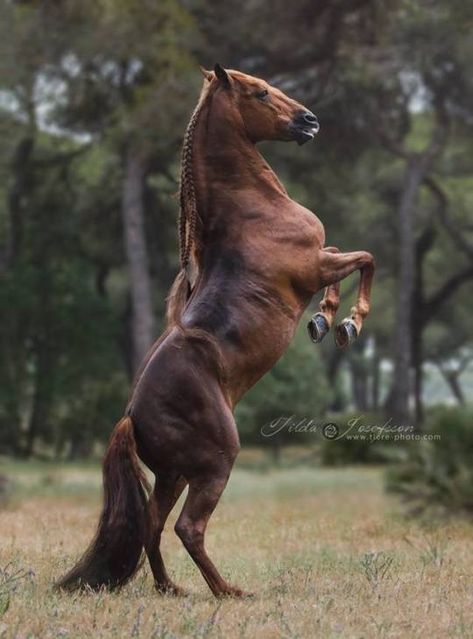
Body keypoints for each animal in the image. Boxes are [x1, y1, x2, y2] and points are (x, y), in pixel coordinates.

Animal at [56, 65, 372, 600]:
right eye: (260, 91)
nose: (309, 121)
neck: (254, 210)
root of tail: (131, 417)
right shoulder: (314, 266)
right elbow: (365, 259)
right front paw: (345, 323)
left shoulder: (322, 258)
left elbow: (351, 258)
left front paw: (324, 321)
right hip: (215, 462)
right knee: (188, 527)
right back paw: (229, 591)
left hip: (173, 474)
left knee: (153, 524)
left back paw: (171, 589)